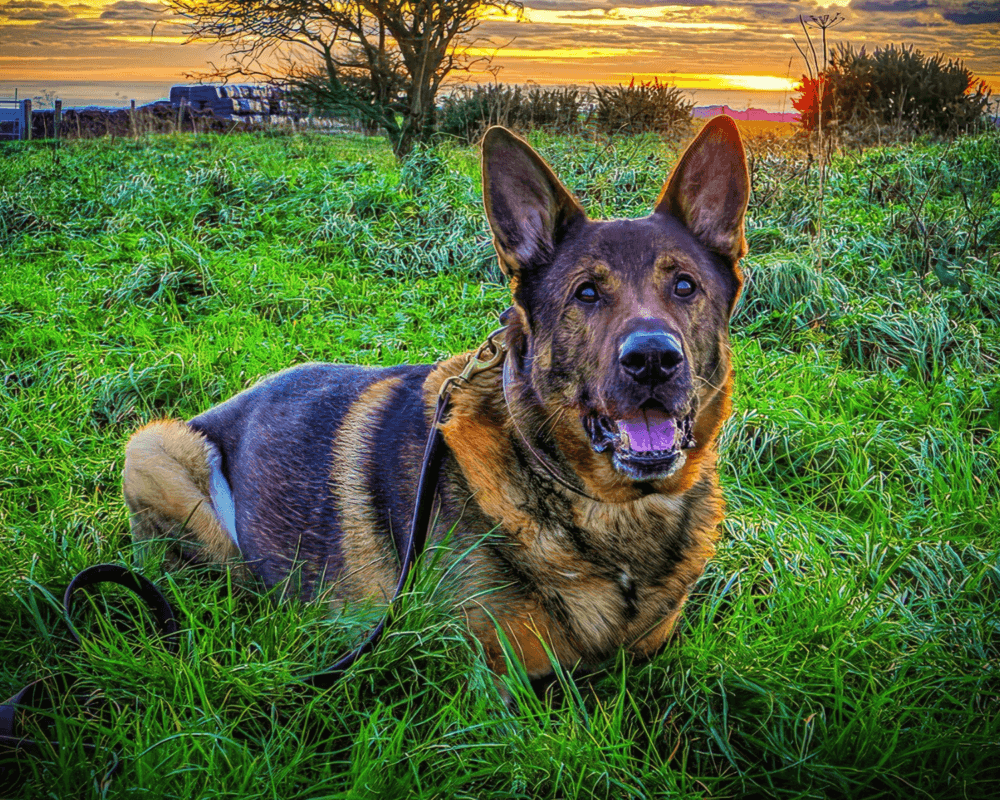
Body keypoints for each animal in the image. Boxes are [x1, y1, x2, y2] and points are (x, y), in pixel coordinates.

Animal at [123, 117, 752, 680]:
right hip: (156, 448)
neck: (608, 508)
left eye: (685, 286)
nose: (653, 360)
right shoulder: (489, 676)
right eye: (587, 293)